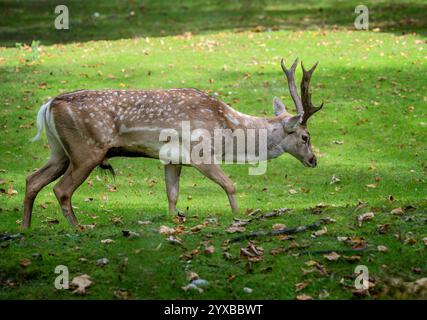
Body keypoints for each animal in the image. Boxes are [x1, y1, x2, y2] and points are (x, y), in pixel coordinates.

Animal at [22, 57, 324, 228]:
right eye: (305, 136)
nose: (313, 160)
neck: (227, 131)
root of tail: (49, 104)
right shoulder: (200, 152)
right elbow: (230, 184)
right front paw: (239, 217)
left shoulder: (172, 158)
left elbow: (172, 195)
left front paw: (172, 221)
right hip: (87, 150)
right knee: (61, 189)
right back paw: (77, 228)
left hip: (59, 151)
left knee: (32, 180)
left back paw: (25, 228)